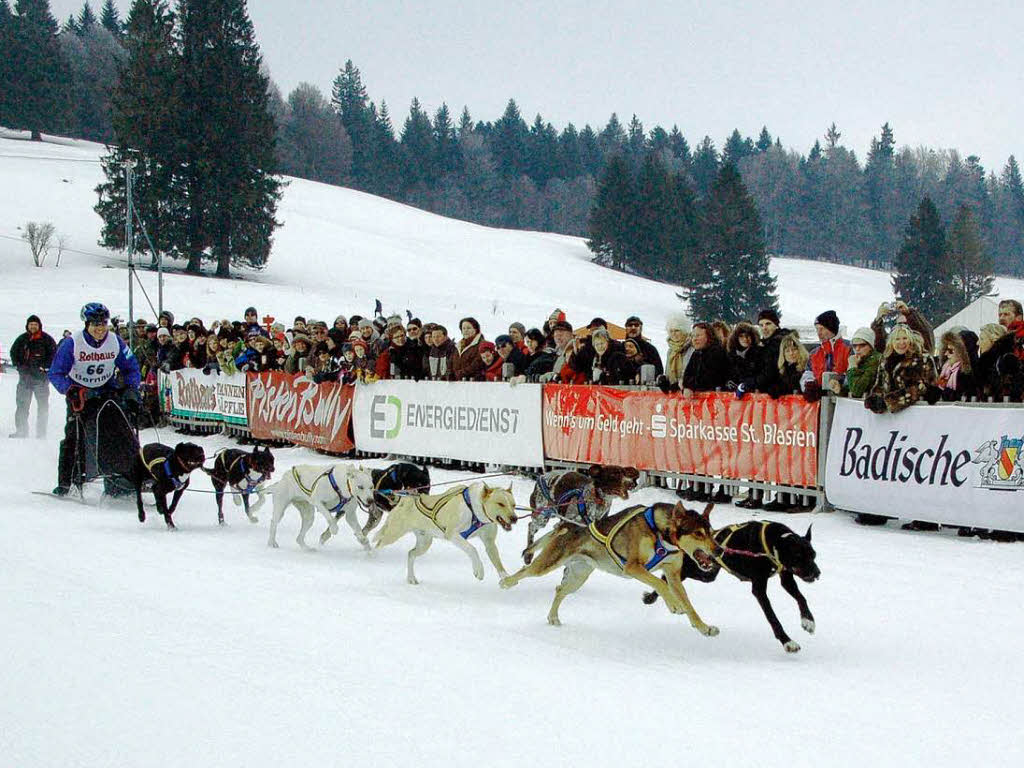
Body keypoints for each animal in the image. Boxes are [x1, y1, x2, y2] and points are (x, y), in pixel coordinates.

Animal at [374, 483, 520, 585]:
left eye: (513, 505)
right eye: (500, 504)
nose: (514, 518)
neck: (475, 510)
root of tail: (404, 500)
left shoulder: (489, 542)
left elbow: (497, 561)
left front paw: (506, 578)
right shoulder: (452, 534)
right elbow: (472, 549)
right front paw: (479, 570)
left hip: (424, 543)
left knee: (411, 554)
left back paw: (411, 578)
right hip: (392, 534)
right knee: (378, 544)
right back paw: (371, 555)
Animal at [499, 501, 724, 634]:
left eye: (711, 532)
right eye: (698, 533)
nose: (720, 549)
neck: (661, 532)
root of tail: (564, 526)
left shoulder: (674, 575)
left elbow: (688, 604)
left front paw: (703, 626)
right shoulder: (633, 567)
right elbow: (660, 585)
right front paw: (673, 605)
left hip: (578, 576)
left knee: (559, 589)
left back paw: (553, 617)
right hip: (547, 563)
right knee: (524, 572)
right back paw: (506, 582)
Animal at [643, 520, 819, 651]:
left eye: (813, 555)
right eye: (798, 556)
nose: (818, 573)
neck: (772, 543)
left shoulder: (786, 577)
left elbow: (801, 598)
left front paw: (808, 620)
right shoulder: (759, 589)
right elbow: (773, 617)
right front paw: (787, 641)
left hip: (707, 575)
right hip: (696, 571)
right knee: (667, 578)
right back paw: (651, 597)